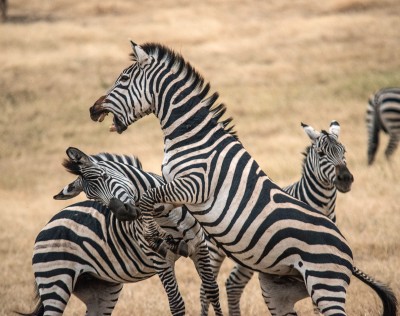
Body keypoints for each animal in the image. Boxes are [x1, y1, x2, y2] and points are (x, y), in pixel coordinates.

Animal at [18, 148, 223, 316]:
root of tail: (48, 224)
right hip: (54, 280)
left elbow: (211, 290)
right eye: (93, 197)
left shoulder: (200, 246)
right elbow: (176, 304)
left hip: (102, 289)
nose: (123, 213)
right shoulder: (159, 259)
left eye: (104, 176)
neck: (166, 216)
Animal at [200, 119, 356, 314]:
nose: (345, 179)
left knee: (233, 283)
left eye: (344, 151)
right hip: (215, 249)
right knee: (205, 288)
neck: (323, 206)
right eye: (321, 154)